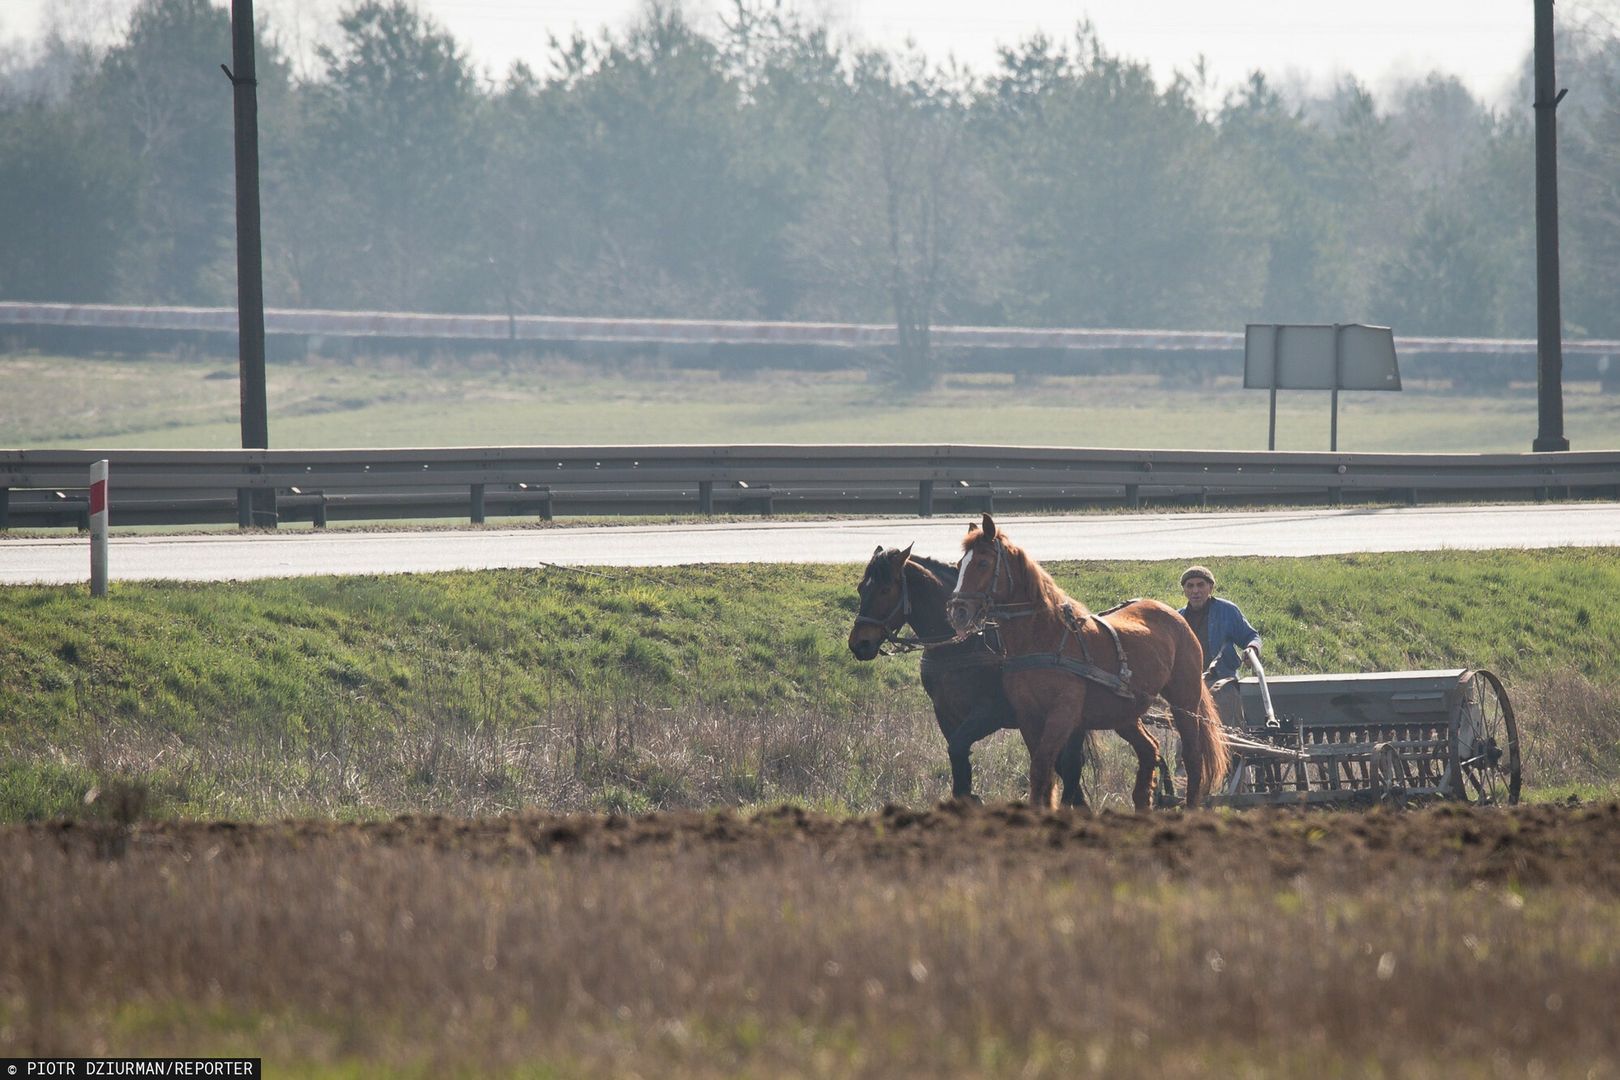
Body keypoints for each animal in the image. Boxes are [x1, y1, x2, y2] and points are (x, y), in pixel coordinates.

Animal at [848, 544, 1088, 806]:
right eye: (861, 588)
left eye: (885, 589)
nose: (859, 643)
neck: (962, 643)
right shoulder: (945, 714)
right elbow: (958, 763)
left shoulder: (989, 714)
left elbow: (958, 749)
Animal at [946, 514, 1218, 809]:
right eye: (960, 565)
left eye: (983, 563)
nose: (958, 612)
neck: (1044, 638)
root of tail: (1176, 616)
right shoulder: (1028, 715)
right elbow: (1045, 771)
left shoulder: (1062, 714)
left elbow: (1041, 767)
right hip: (1124, 712)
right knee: (1149, 750)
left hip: (1185, 701)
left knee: (1192, 757)